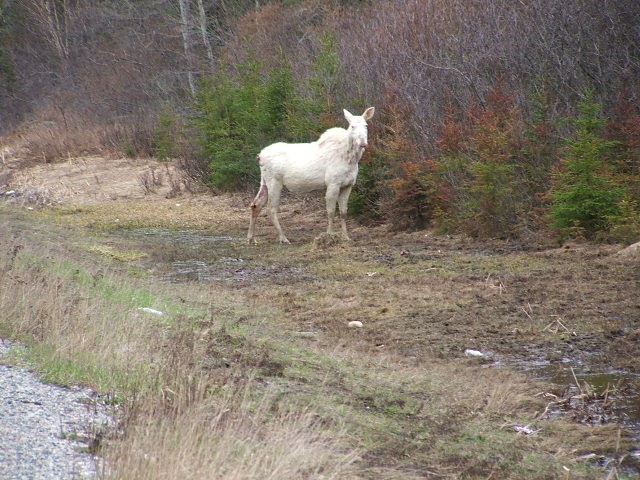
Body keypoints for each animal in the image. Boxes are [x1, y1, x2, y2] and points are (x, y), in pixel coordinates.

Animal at [246, 108, 376, 244]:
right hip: (274, 181)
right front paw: (329, 235)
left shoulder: (348, 185)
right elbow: (331, 211)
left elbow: (343, 212)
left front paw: (346, 237)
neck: (351, 159)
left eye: (366, 125)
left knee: (255, 204)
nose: (363, 143)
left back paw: (250, 238)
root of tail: (259, 156)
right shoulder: (333, 183)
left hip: (264, 181)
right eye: (352, 126)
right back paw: (283, 238)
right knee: (271, 208)